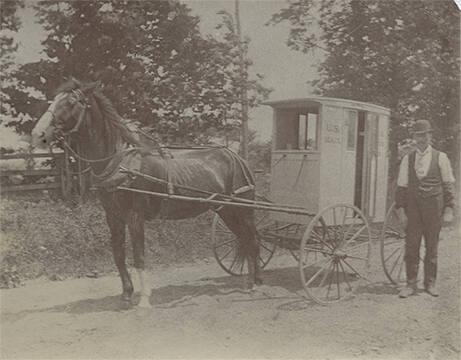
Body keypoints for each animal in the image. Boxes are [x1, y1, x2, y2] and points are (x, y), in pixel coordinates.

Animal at [31, 78, 262, 306]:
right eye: (54, 100)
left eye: (70, 102)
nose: (38, 134)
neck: (119, 162)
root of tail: (238, 157)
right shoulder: (113, 216)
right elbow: (118, 254)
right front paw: (126, 295)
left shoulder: (135, 216)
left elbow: (139, 256)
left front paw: (144, 299)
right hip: (226, 210)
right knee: (245, 238)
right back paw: (254, 280)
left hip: (242, 209)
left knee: (252, 238)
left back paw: (254, 284)